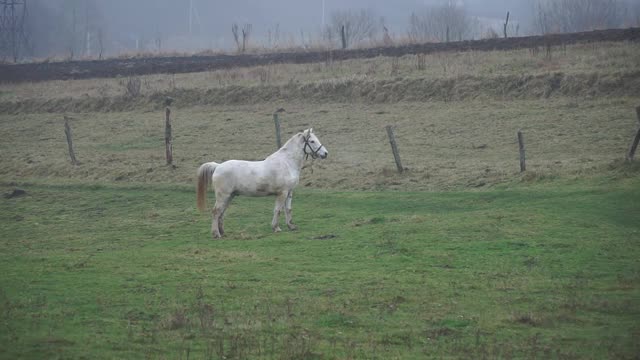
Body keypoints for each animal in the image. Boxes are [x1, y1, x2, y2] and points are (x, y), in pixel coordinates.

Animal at [196, 128, 328, 238]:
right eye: (312, 141)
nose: (325, 153)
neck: (287, 162)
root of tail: (218, 166)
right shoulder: (282, 193)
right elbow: (278, 210)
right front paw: (276, 228)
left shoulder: (289, 192)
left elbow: (288, 209)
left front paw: (291, 226)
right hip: (223, 196)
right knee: (216, 212)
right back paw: (216, 234)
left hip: (230, 196)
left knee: (222, 213)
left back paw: (222, 232)